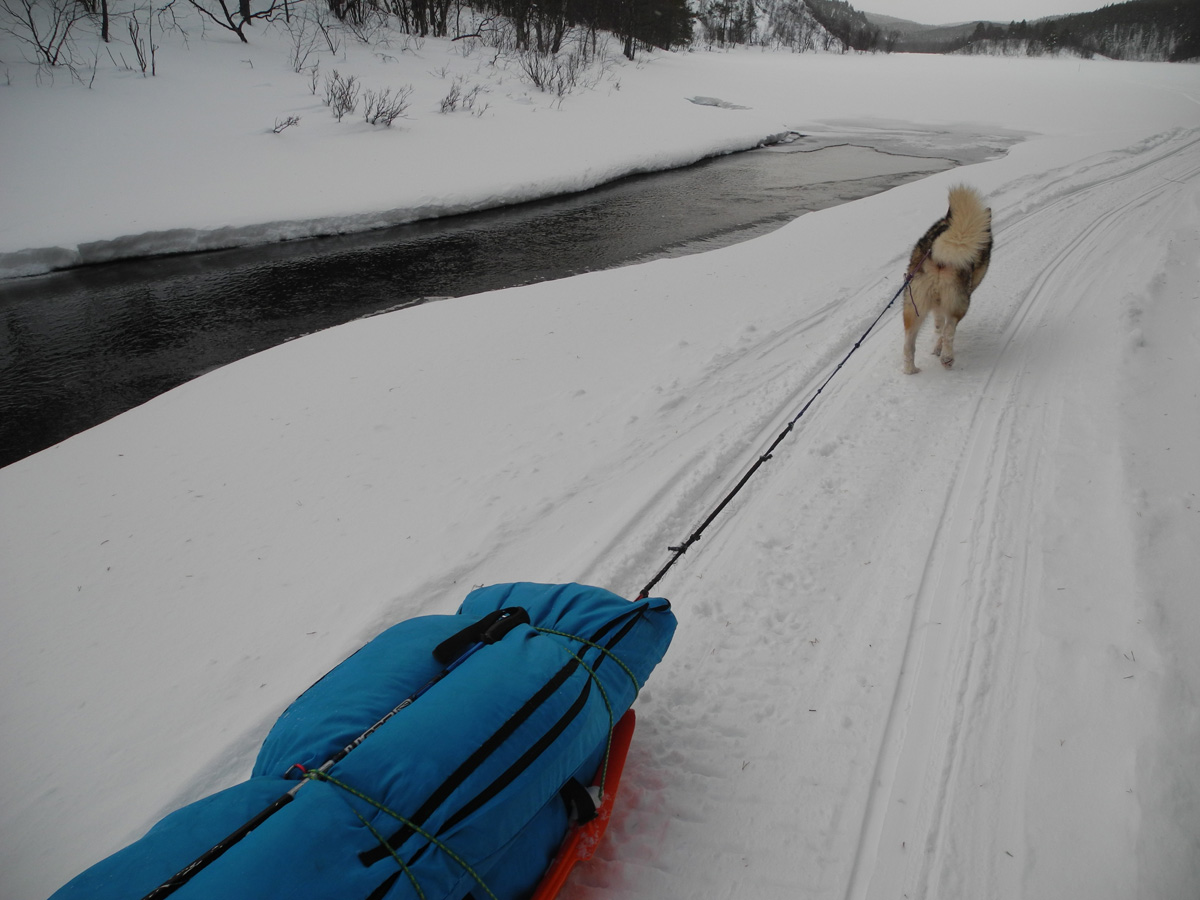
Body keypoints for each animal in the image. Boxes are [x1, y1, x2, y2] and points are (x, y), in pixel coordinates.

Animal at [902, 187, 993, 374]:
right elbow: (943, 331)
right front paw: (939, 349)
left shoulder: (937, 305)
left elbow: (938, 325)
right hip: (959, 303)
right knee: (949, 331)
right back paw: (947, 358)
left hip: (914, 306)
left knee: (908, 343)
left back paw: (911, 370)